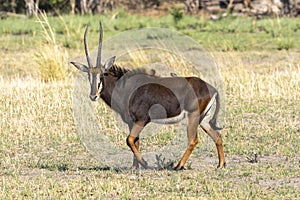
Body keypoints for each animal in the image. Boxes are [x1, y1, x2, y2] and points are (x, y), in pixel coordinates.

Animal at [70, 22, 225, 170]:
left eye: (102, 75)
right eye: (88, 75)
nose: (93, 95)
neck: (125, 87)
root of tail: (212, 88)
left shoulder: (142, 120)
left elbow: (129, 140)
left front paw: (144, 163)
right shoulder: (131, 122)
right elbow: (135, 141)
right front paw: (134, 167)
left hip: (193, 116)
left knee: (193, 140)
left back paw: (178, 166)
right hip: (203, 119)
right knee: (217, 136)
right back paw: (221, 164)